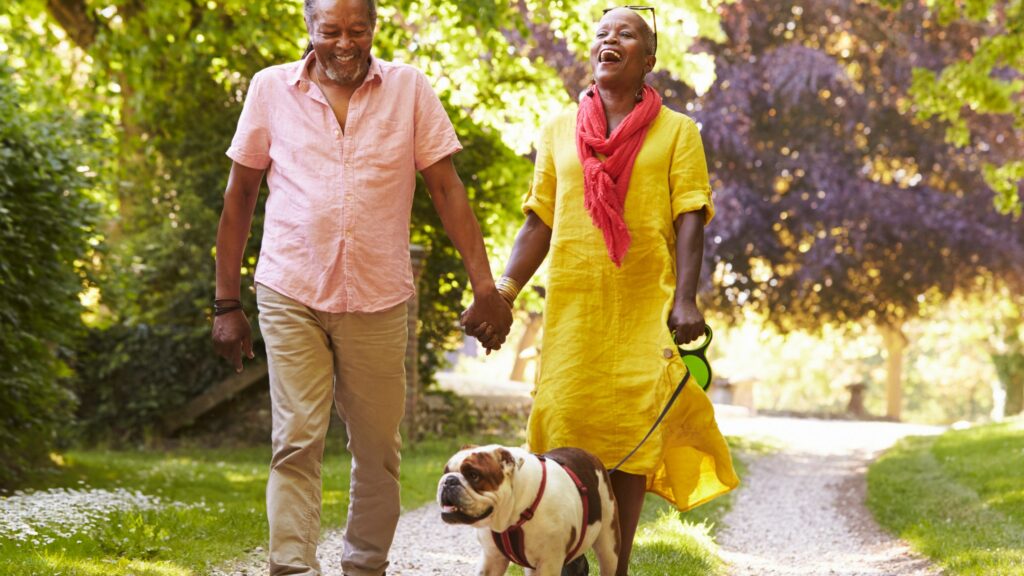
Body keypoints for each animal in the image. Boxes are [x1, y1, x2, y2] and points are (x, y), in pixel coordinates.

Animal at [436, 440, 618, 569]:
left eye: (474, 475)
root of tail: (589, 455)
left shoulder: (549, 562)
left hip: (609, 546)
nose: (449, 480)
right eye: (445, 471)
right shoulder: (491, 558)